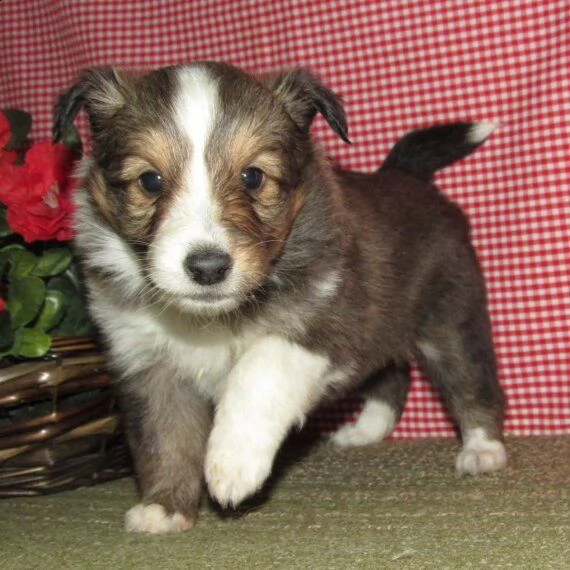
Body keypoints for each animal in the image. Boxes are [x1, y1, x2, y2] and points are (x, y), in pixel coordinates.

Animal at [54, 63, 506, 532]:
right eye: (149, 180)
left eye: (253, 176)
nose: (208, 268)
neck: (211, 318)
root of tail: (405, 176)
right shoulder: (147, 364)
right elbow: (165, 437)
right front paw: (164, 508)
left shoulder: (323, 318)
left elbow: (259, 366)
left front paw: (233, 463)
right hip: (383, 325)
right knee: (391, 375)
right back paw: (365, 430)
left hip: (450, 321)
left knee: (473, 383)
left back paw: (482, 450)